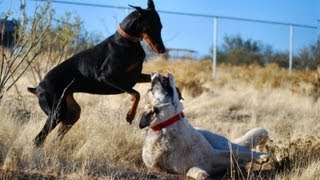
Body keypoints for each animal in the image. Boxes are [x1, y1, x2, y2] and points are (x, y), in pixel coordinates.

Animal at [139, 73, 268, 179]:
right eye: (152, 90)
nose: (153, 73)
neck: (170, 125)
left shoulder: (215, 154)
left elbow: (235, 153)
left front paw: (261, 157)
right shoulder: (184, 169)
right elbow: (193, 171)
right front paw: (201, 174)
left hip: (222, 143)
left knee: (240, 149)